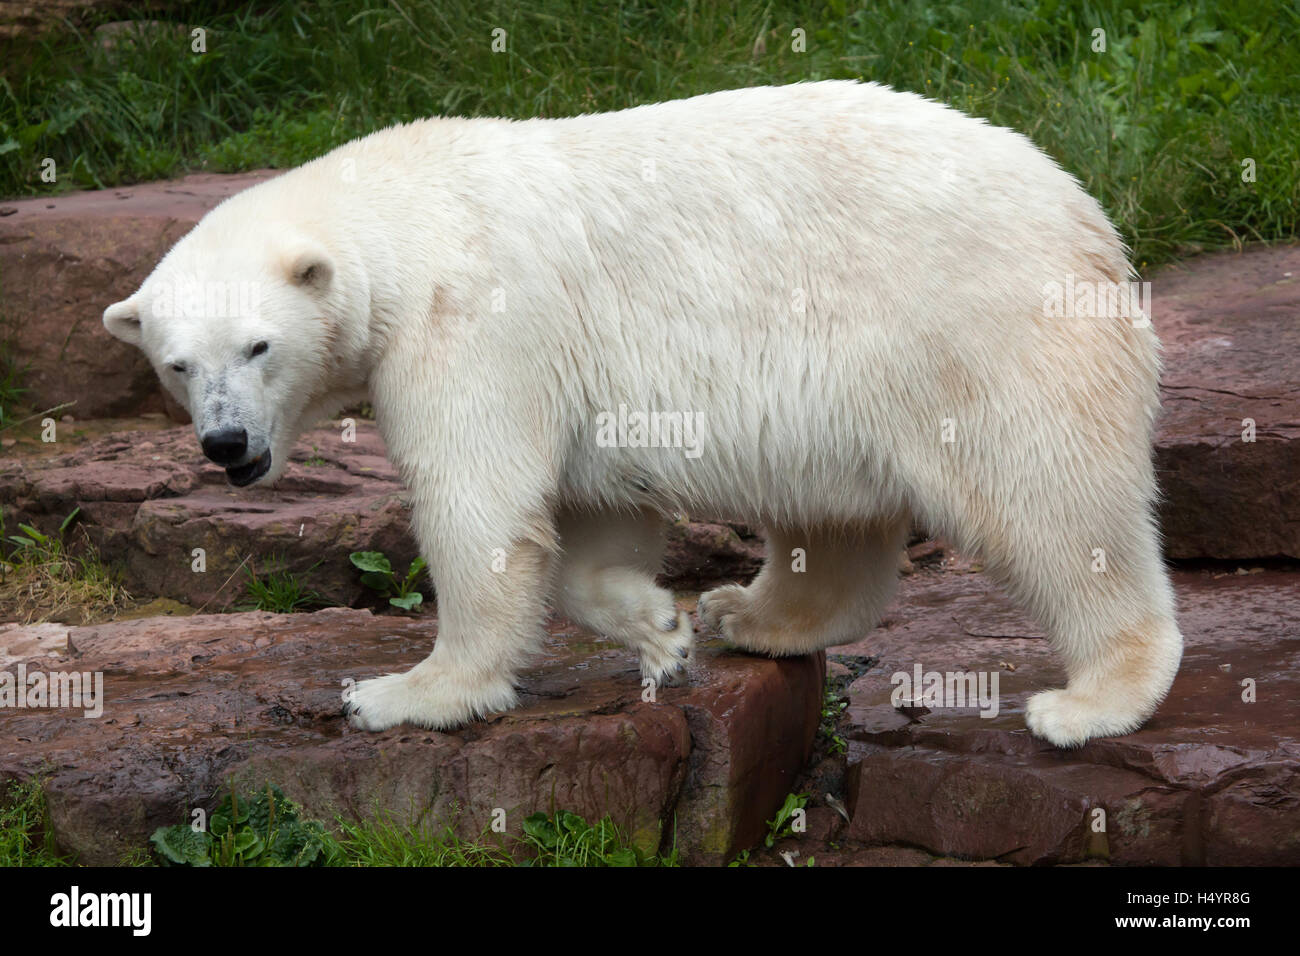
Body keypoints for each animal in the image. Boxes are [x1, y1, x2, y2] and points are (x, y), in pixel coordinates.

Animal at [104, 82, 1180, 749]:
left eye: (258, 346)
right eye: (177, 363)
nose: (227, 443)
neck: (404, 215)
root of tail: (1087, 216)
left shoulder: (472, 325)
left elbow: (480, 508)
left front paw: (406, 693)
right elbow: (591, 517)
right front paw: (663, 626)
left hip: (974, 326)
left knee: (1050, 497)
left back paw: (1093, 698)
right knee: (832, 510)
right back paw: (756, 612)